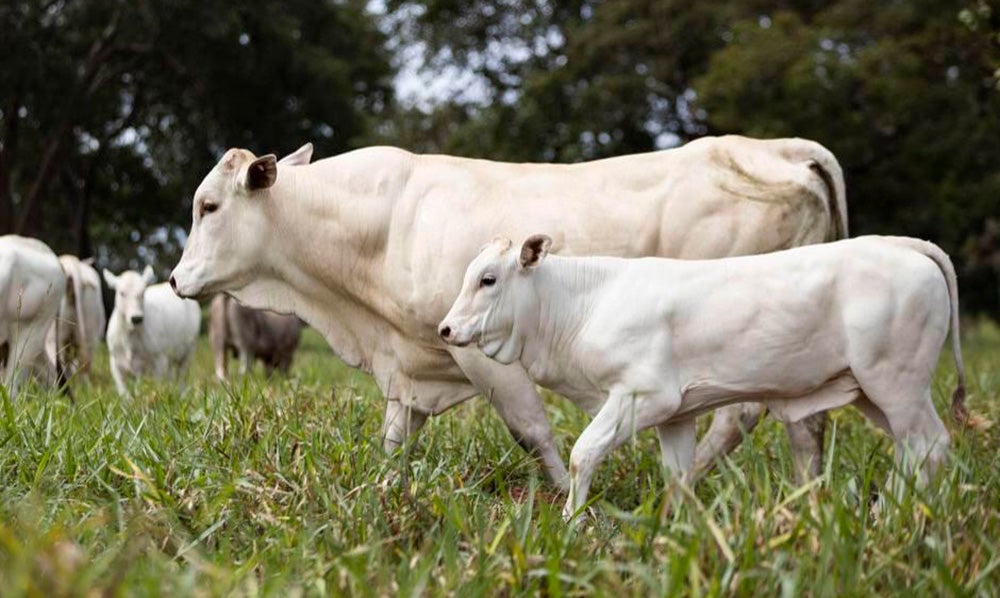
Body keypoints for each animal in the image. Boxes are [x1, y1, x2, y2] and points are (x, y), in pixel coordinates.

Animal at [104, 265, 201, 397]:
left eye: (142, 293)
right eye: (122, 293)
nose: (136, 318)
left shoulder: (158, 360)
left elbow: (154, 386)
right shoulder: (115, 363)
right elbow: (125, 393)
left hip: (188, 351)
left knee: (182, 375)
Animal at [169, 136, 848, 490]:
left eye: (208, 206)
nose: (176, 279)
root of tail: (779, 149)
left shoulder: (476, 351)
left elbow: (531, 430)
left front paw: (566, 497)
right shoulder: (410, 364)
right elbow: (394, 438)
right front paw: (380, 490)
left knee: (745, 417)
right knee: (802, 423)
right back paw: (805, 496)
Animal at [438, 234, 967, 519]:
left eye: (488, 279)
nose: (445, 329)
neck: (583, 302)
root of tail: (899, 244)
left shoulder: (641, 395)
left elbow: (582, 453)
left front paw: (571, 518)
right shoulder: (677, 414)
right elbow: (678, 475)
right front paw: (674, 524)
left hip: (896, 383)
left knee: (929, 444)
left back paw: (888, 515)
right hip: (872, 393)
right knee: (914, 449)